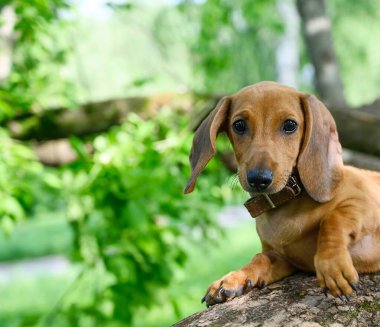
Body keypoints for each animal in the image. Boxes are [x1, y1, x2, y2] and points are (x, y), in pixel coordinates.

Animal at [183, 82, 380, 308]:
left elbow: (332, 218)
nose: (259, 179)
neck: (288, 205)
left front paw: (332, 264)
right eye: (239, 125)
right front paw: (233, 278)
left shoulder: (366, 203)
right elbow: (260, 258)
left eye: (290, 125)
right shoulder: (281, 258)